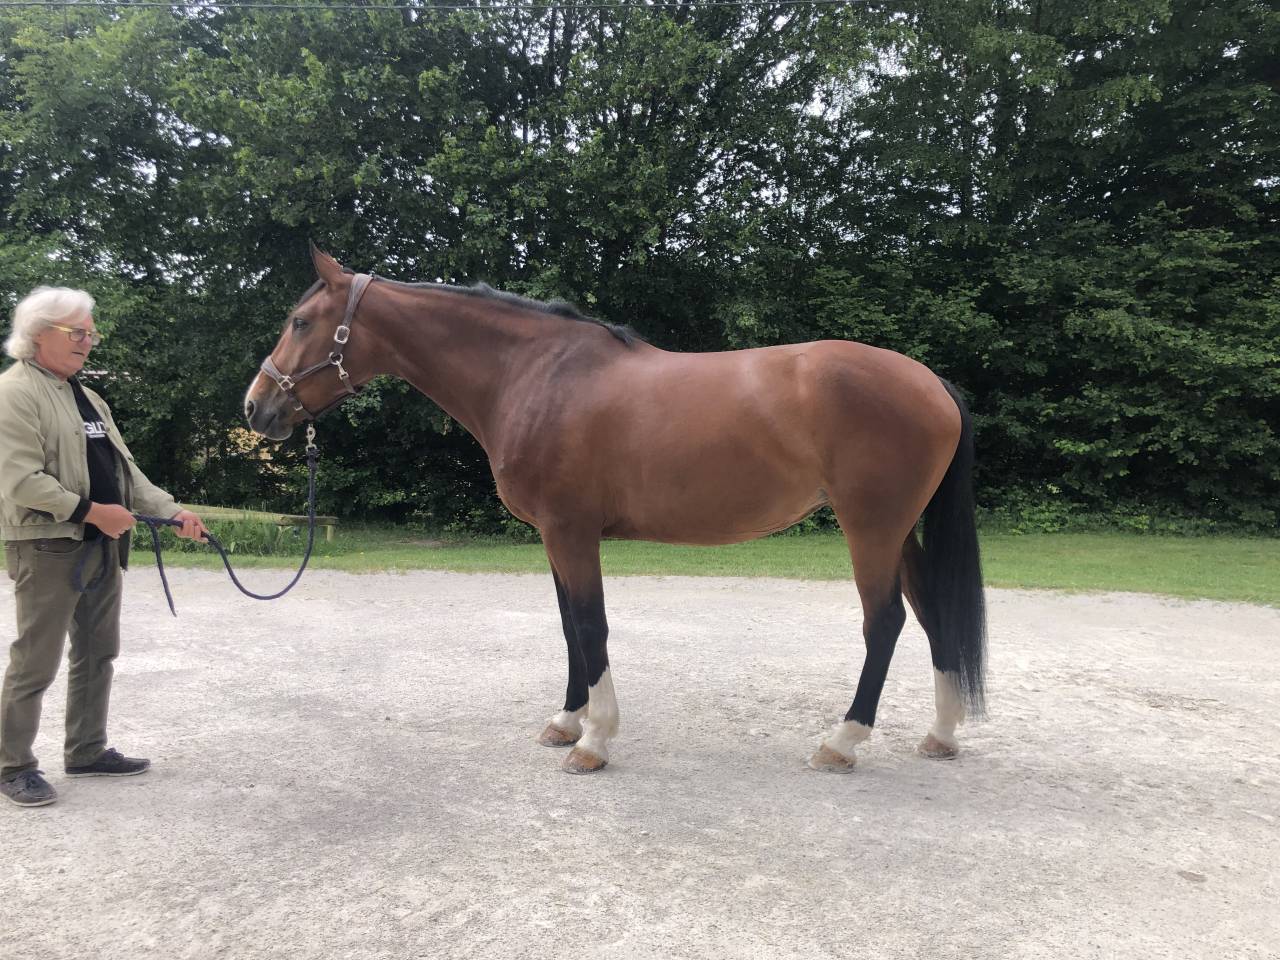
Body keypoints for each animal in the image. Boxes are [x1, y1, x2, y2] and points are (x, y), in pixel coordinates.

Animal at [244, 247, 987, 775]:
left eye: (301, 322)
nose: (256, 407)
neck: (536, 375)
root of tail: (933, 382)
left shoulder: (571, 531)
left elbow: (591, 625)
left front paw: (594, 741)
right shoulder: (555, 536)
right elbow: (570, 627)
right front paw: (567, 721)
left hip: (870, 528)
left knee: (885, 623)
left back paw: (842, 741)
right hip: (898, 532)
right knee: (932, 614)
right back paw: (940, 735)